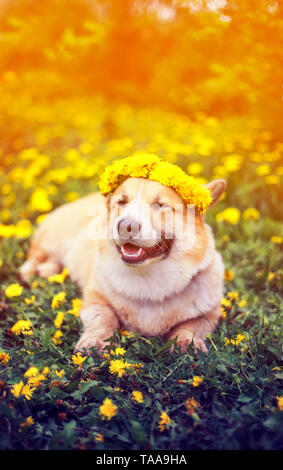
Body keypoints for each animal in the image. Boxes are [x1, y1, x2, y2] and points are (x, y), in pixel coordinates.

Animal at [20, 176, 227, 352]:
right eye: (121, 202)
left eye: (160, 205)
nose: (126, 226)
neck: (148, 278)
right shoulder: (96, 299)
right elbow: (104, 319)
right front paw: (94, 341)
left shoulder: (208, 313)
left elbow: (190, 326)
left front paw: (186, 344)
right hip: (53, 241)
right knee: (35, 257)